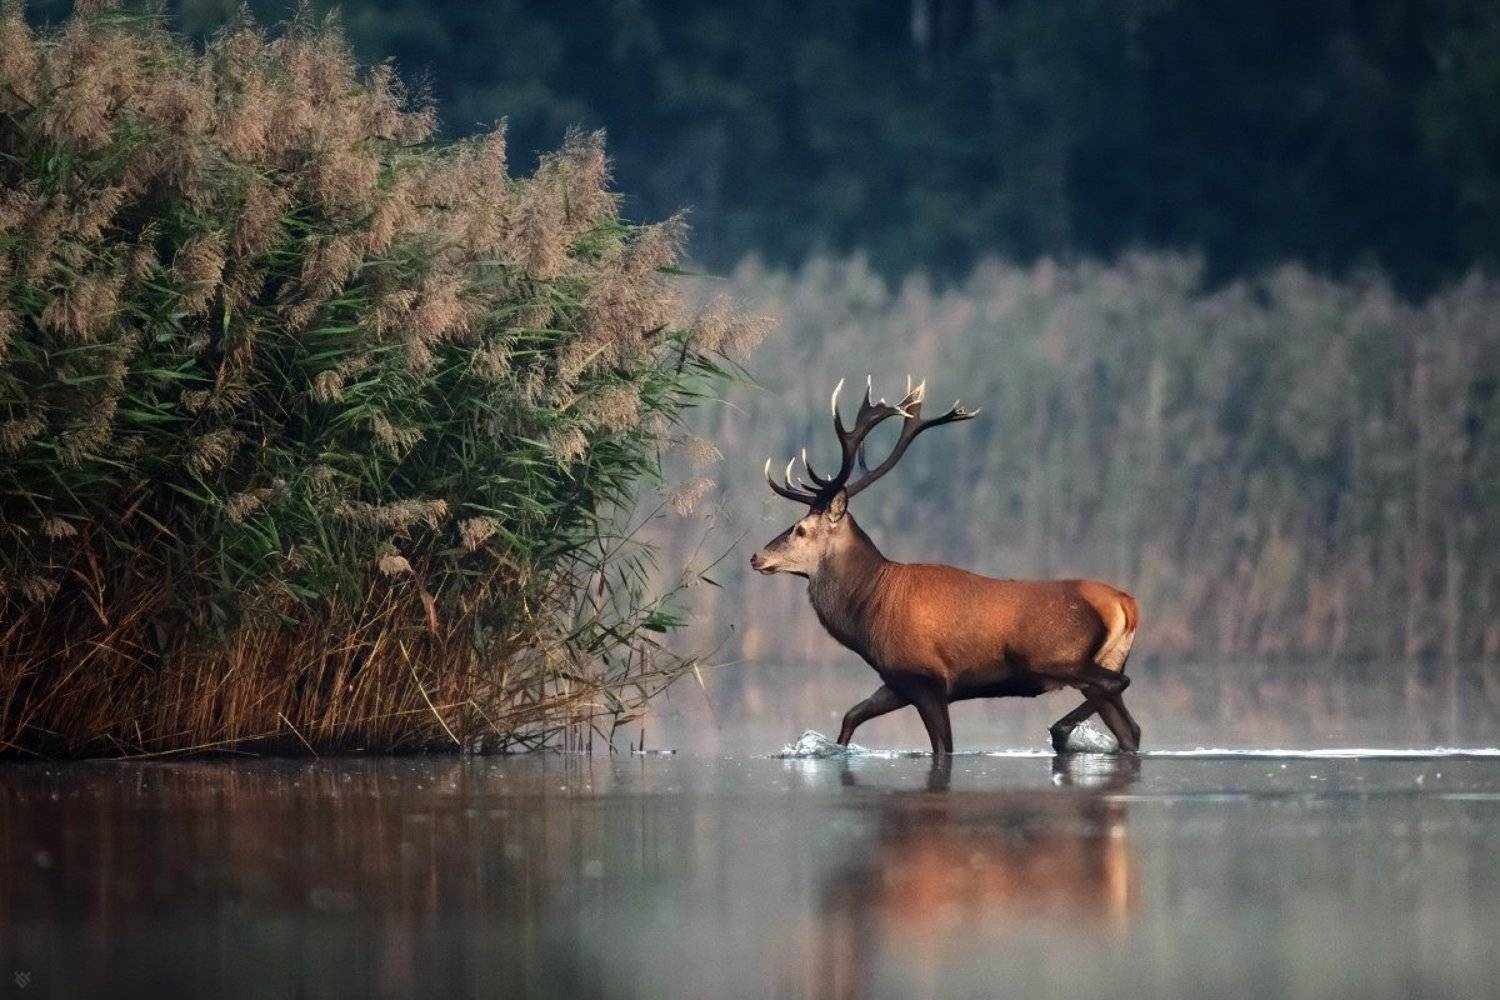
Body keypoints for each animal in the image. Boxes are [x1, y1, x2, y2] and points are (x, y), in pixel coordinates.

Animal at [749, 377, 1142, 755]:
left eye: (800, 529)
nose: (757, 557)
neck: (870, 611)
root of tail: (1126, 605)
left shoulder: (926, 678)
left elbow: (943, 747)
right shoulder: (896, 681)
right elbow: (850, 716)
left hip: (1059, 658)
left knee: (1117, 684)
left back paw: (1060, 731)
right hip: (1107, 658)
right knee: (1130, 729)